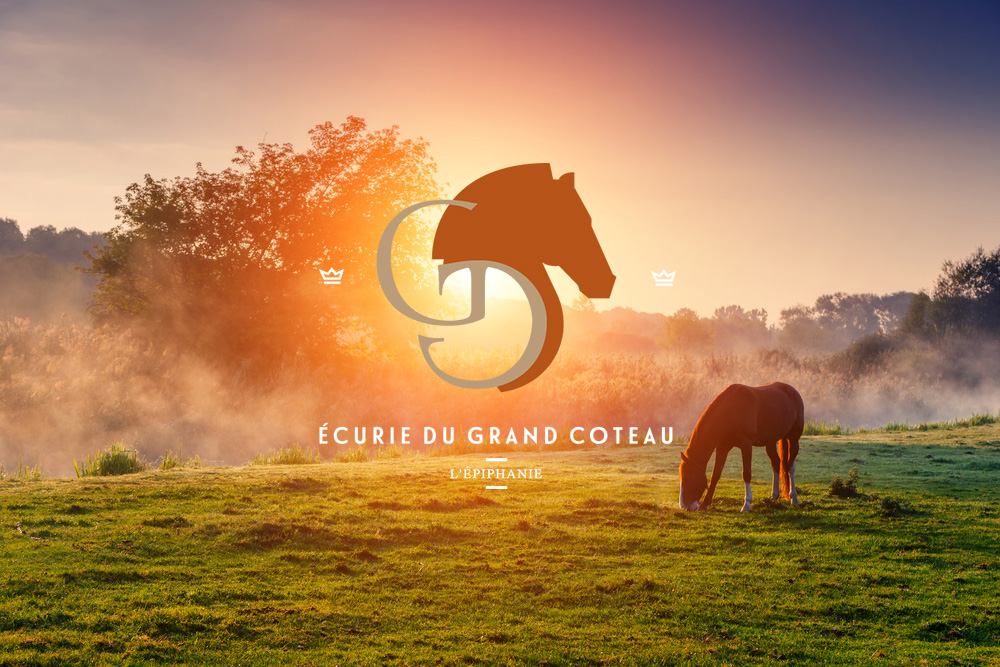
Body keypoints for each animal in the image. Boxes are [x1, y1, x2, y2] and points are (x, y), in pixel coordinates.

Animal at [678, 382, 804, 512]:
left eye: (687, 478)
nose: (683, 506)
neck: (731, 409)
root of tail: (793, 391)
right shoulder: (722, 447)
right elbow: (715, 475)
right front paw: (704, 504)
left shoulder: (746, 444)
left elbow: (746, 473)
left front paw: (746, 504)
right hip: (770, 442)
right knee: (776, 463)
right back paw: (774, 497)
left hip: (793, 439)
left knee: (790, 467)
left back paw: (794, 498)